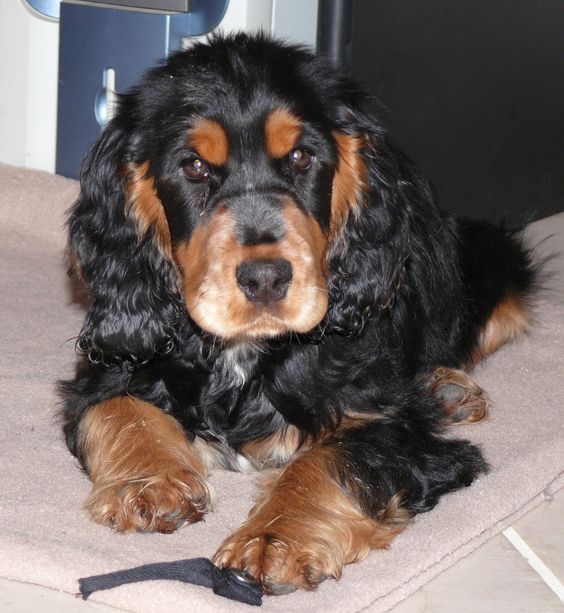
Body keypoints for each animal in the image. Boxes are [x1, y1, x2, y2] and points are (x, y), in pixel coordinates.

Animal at [62, 32, 536, 592]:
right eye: (193, 166)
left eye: (301, 156)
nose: (266, 278)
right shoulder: (112, 363)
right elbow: (115, 407)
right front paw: (150, 484)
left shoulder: (399, 430)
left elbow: (334, 458)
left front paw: (274, 540)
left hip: (489, 263)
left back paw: (446, 389)